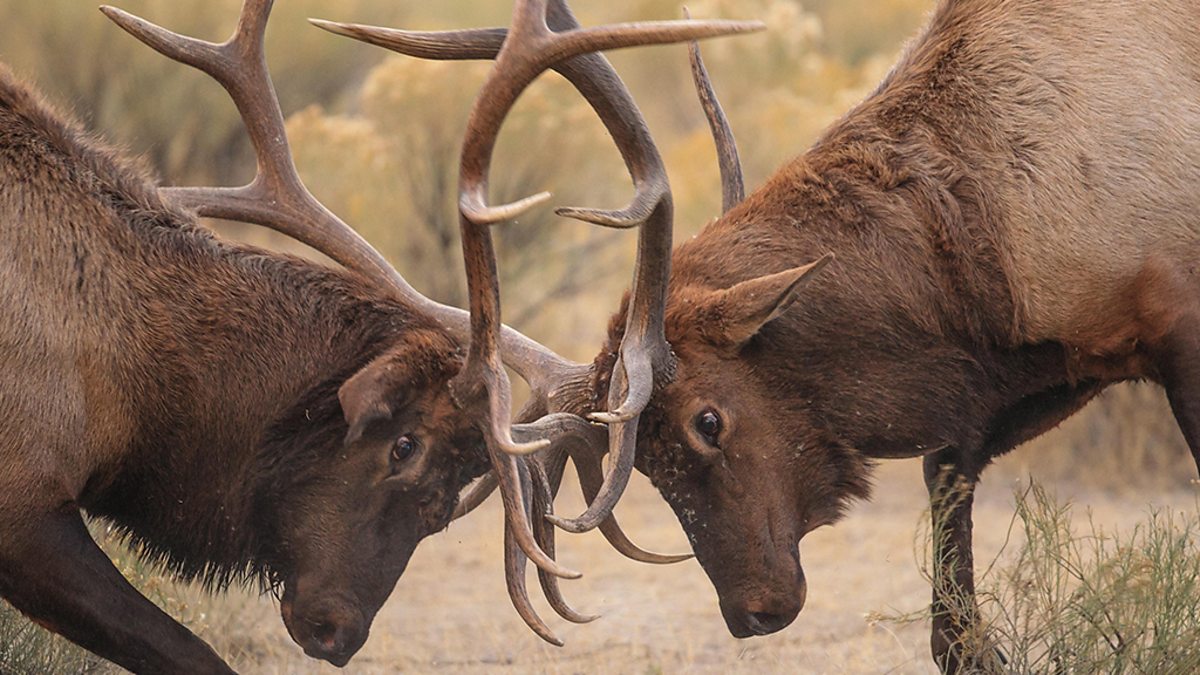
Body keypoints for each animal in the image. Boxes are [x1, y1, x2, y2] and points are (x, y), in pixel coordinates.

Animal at [0, 0, 757, 671]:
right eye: (403, 444)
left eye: (455, 498)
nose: (339, 632)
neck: (131, 375)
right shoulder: (25, 498)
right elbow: (191, 652)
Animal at [401, 0, 1198, 672]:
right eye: (646, 462)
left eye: (708, 420)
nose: (749, 612)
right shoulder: (1038, 369)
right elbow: (949, 563)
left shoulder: (1169, 326)